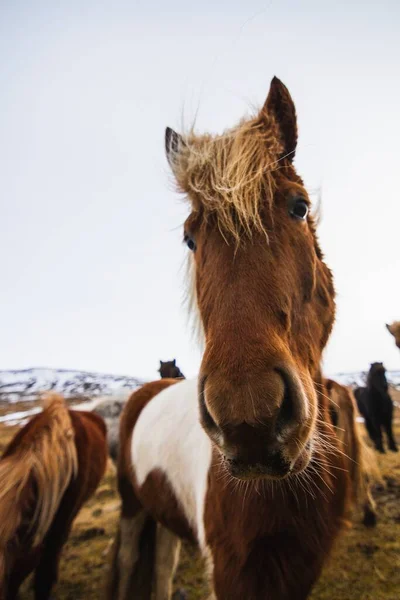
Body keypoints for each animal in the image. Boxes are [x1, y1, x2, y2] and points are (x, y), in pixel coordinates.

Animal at [107, 77, 356, 596]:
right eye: (189, 238)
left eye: (299, 207)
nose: (249, 419)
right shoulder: (231, 569)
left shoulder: (302, 566)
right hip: (132, 508)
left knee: (161, 568)